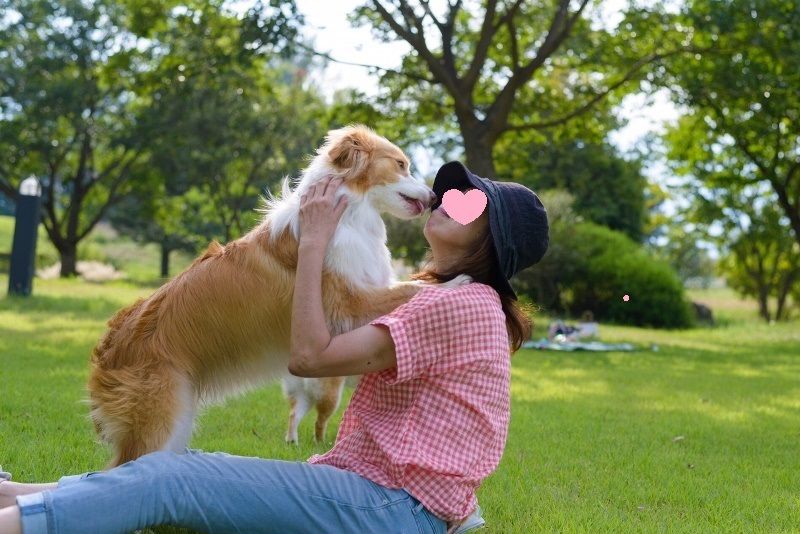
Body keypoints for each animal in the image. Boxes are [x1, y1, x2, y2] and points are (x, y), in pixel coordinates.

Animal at [88, 125, 440, 466]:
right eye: (401, 164)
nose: (436, 196)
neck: (348, 211)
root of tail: (108, 349)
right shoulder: (348, 307)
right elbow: (412, 289)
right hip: (160, 423)